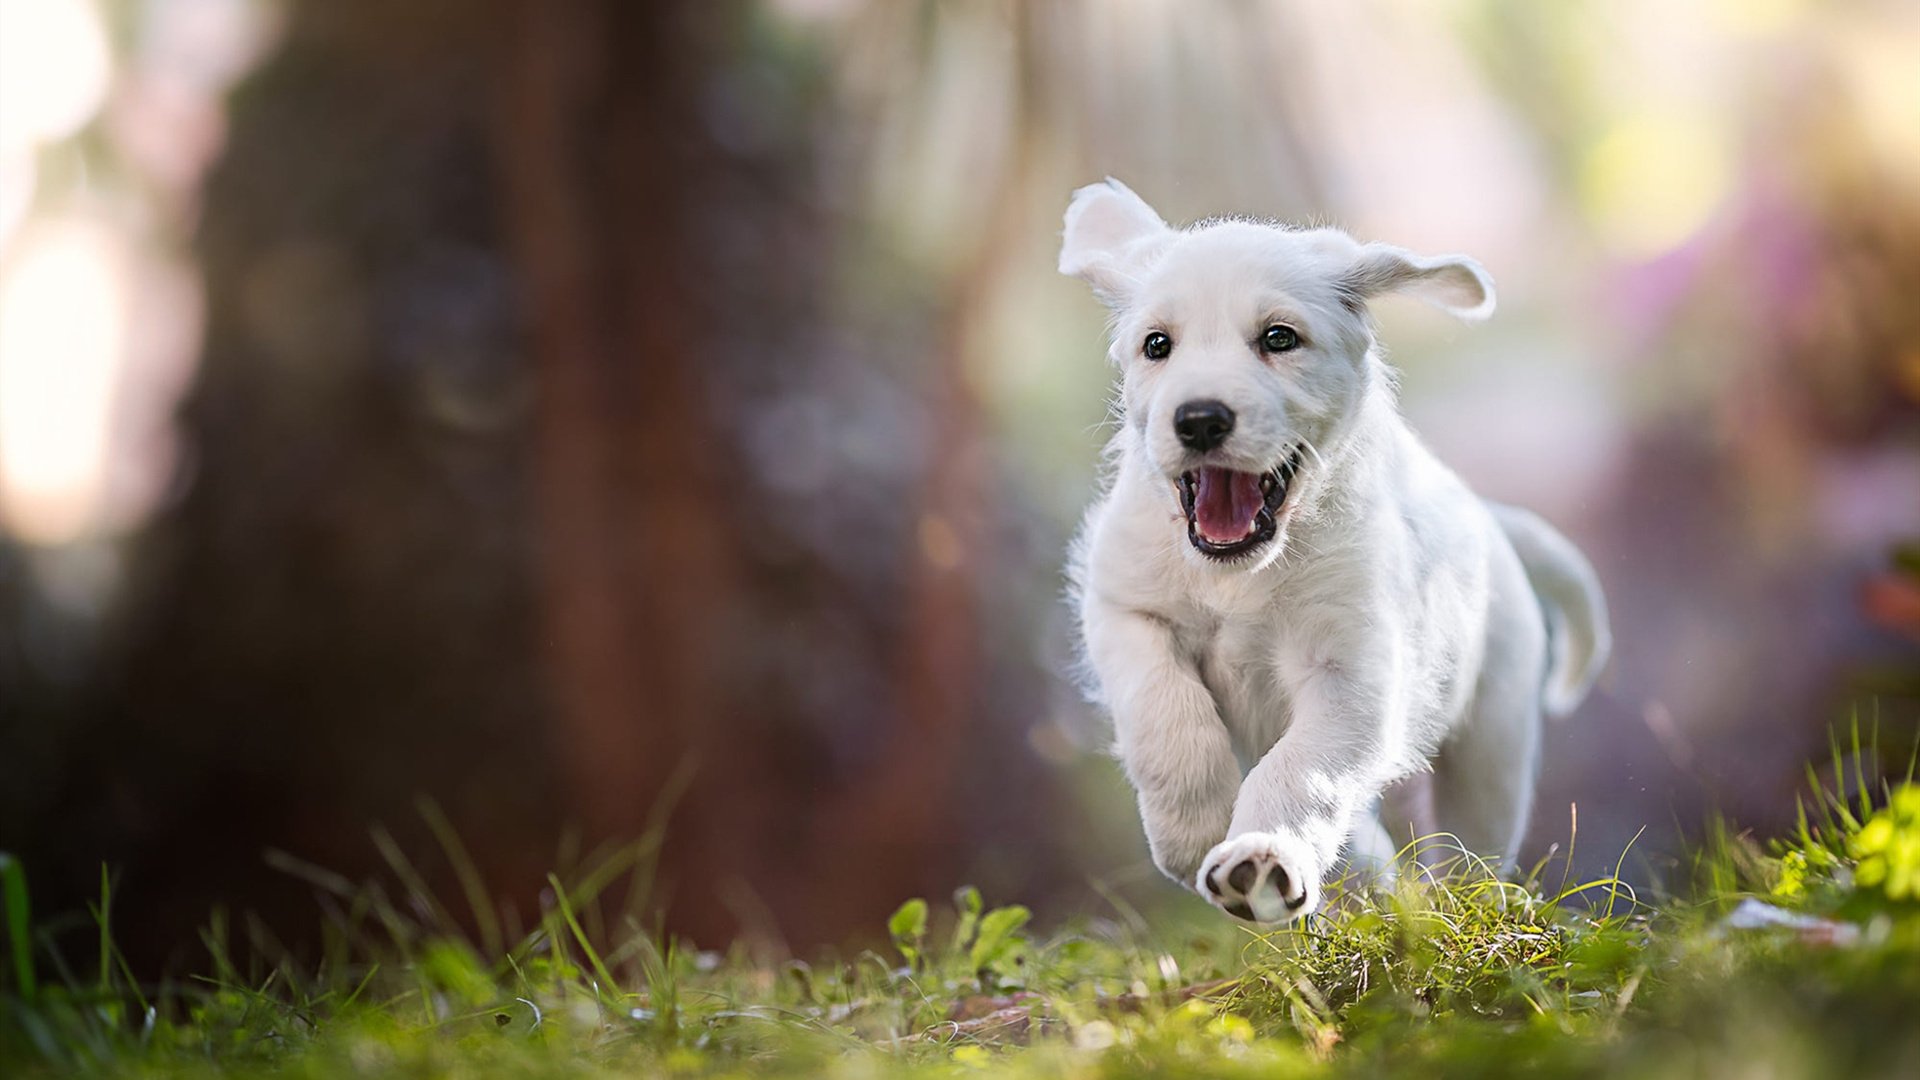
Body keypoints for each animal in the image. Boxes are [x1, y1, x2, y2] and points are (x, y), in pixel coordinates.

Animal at [1059, 180, 1612, 922]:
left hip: (1493, 740)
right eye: (1157, 345)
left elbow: (1304, 772)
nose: (1199, 419)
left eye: (1279, 337)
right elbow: (1163, 714)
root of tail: (1488, 516)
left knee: (1470, 847)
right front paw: (1195, 828)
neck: (1242, 573)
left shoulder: (1353, 672)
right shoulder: (1124, 609)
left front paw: (1261, 855)